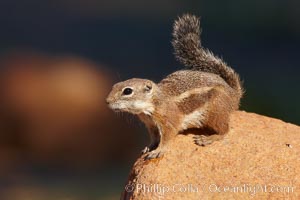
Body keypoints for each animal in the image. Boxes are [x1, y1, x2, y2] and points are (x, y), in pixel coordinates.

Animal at [106, 14, 243, 159]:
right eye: (114, 86)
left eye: (127, 91)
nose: (107, 101)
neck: (154, 102)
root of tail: (234, 93)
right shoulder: (151, 125)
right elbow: (154, 138)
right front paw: (149, 147)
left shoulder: (168, 121)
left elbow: (167, 137)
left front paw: (158, 150)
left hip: (215, 112)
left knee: (225, 130)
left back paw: (208, 138)